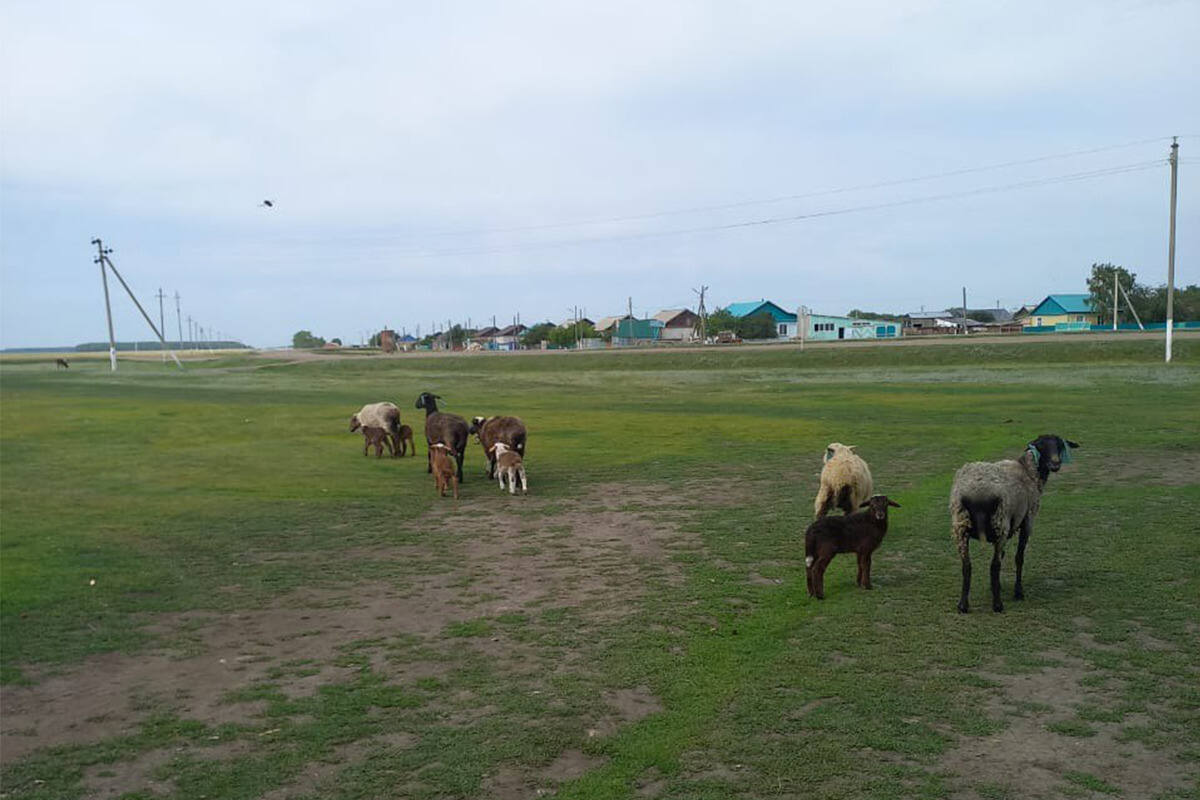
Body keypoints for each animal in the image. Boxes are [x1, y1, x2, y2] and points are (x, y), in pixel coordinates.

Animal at [950, 434, 1084, 618]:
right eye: (1042, 446)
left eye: (1059, 446)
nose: (1055, 464)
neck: (1028, 470)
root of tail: (977, 492)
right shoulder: (1027, 521)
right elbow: (1019, 557)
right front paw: (1018, 592)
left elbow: (1003, 555)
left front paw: (996, 587)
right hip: (1000, 523)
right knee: (994, 566)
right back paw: (998, 605)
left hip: (961, 526)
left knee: (967, 566)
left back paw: (963, 605)